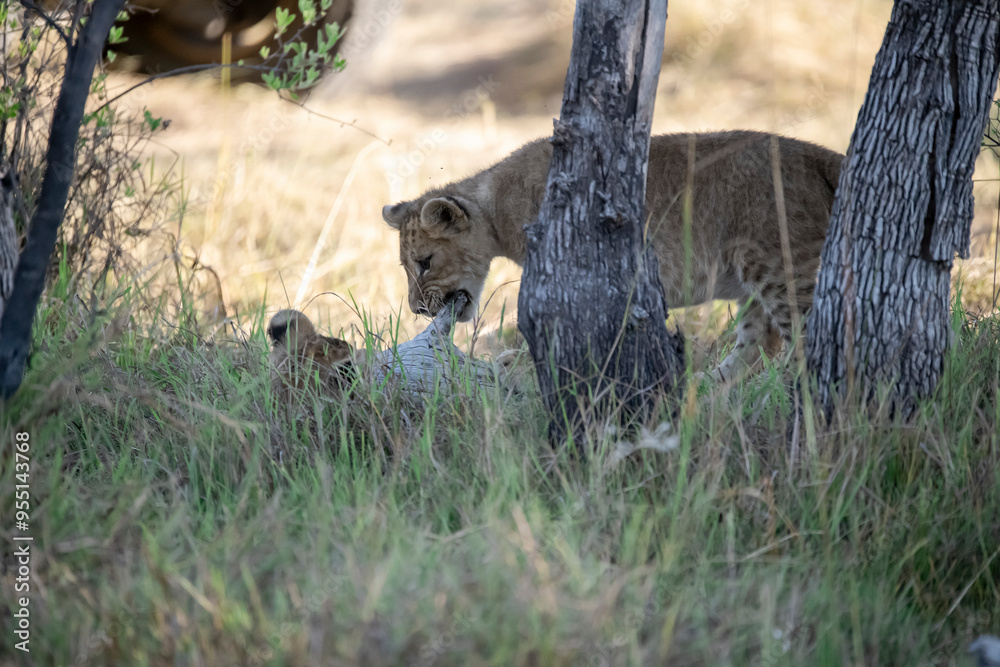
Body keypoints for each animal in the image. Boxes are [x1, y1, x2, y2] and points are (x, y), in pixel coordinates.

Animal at [382, 131, 843, 382]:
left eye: (425, 262)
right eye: (407, 267)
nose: (417, 309)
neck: (496, 209)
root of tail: (817, 153)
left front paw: (516, 364)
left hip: (778, 264)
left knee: (810, 337)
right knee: (759, 342)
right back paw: (710, 392)